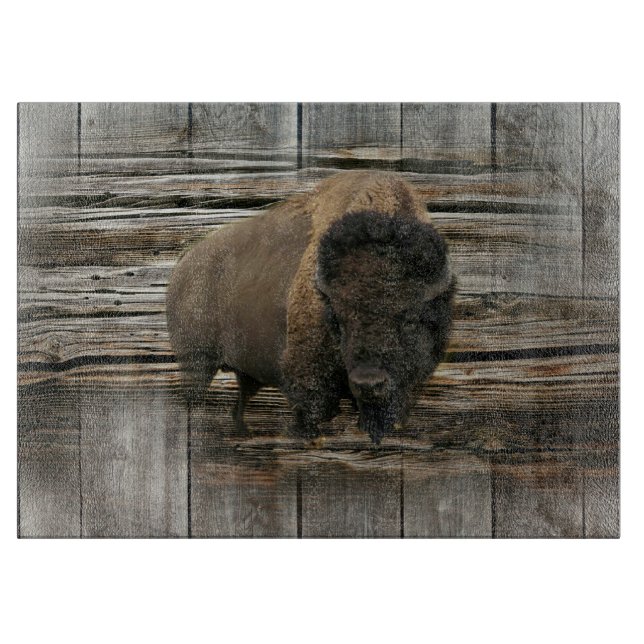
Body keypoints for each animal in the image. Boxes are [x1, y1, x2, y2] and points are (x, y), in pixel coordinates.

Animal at [166, 171, 454, 444]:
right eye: (339, 319)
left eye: (410, 319)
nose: (368, 382)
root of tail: (183, 263)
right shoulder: (308, 377)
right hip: (196, 363)